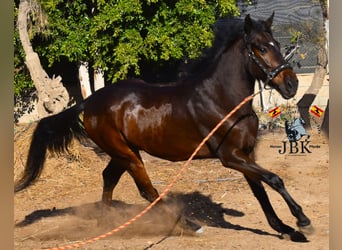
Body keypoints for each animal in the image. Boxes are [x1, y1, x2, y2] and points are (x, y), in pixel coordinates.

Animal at [14, 14, 312, 242]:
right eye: (260, 48)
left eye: (277, 44)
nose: (291, 85)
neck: (222, 100)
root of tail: (89, 102)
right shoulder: (230, 157)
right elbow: (274, 179)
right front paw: (302, 220)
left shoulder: (246, 155)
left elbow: (261, 190)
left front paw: (285, 229)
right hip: (127, 155)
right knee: (147, 191)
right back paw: (189, 224)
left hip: (124, 152)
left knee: (109, 177)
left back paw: (106, 223)